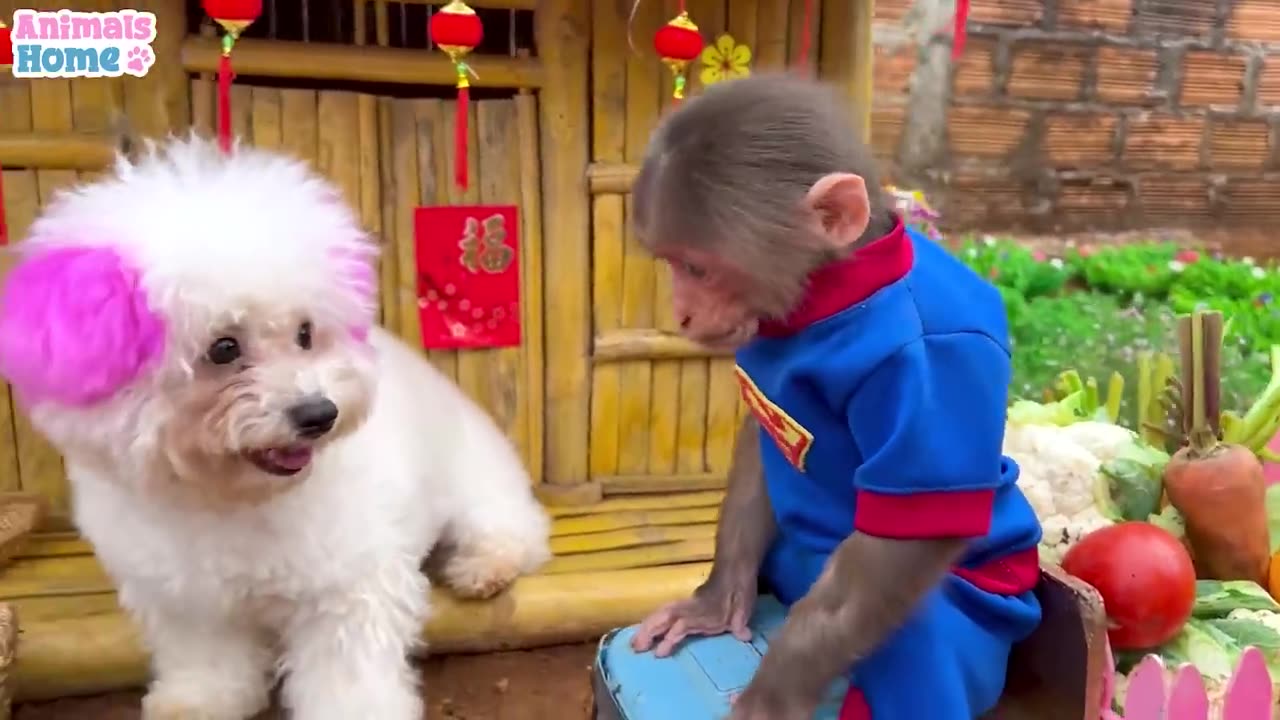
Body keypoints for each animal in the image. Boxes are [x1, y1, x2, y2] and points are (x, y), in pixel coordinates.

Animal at [0, 135, 550, 717]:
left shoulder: (345, 586)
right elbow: (207, 659)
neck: (231, 500)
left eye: (305, 333)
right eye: (223, 348)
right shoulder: (188, 599)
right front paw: (197, 701)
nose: (319, 413)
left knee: (512, 528)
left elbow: (346, 672)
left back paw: (484, 566)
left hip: (478, 485)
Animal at [624, 74, 1044, 717]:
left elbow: (893, 552)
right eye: (672, 264)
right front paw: (719, 598)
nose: (682, 313)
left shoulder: (934, 364)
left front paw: (770, 700)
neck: (838, 292)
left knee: (915, 628)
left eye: (698, 269)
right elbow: (761, 444)